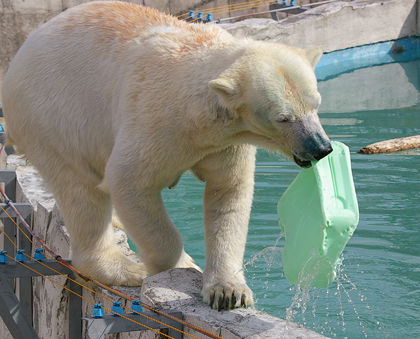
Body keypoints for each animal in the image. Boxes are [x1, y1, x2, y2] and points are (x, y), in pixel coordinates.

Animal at [2, 1, 332, 310]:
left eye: (315, 104)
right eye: (283, 118)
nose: (321, 147)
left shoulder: (224, 143)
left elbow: (227, 193)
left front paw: (228, 291)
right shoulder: (156, 119)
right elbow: (128, 181)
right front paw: (180, 266)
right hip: (52, 116)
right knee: (80, 190)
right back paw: (125, 270)